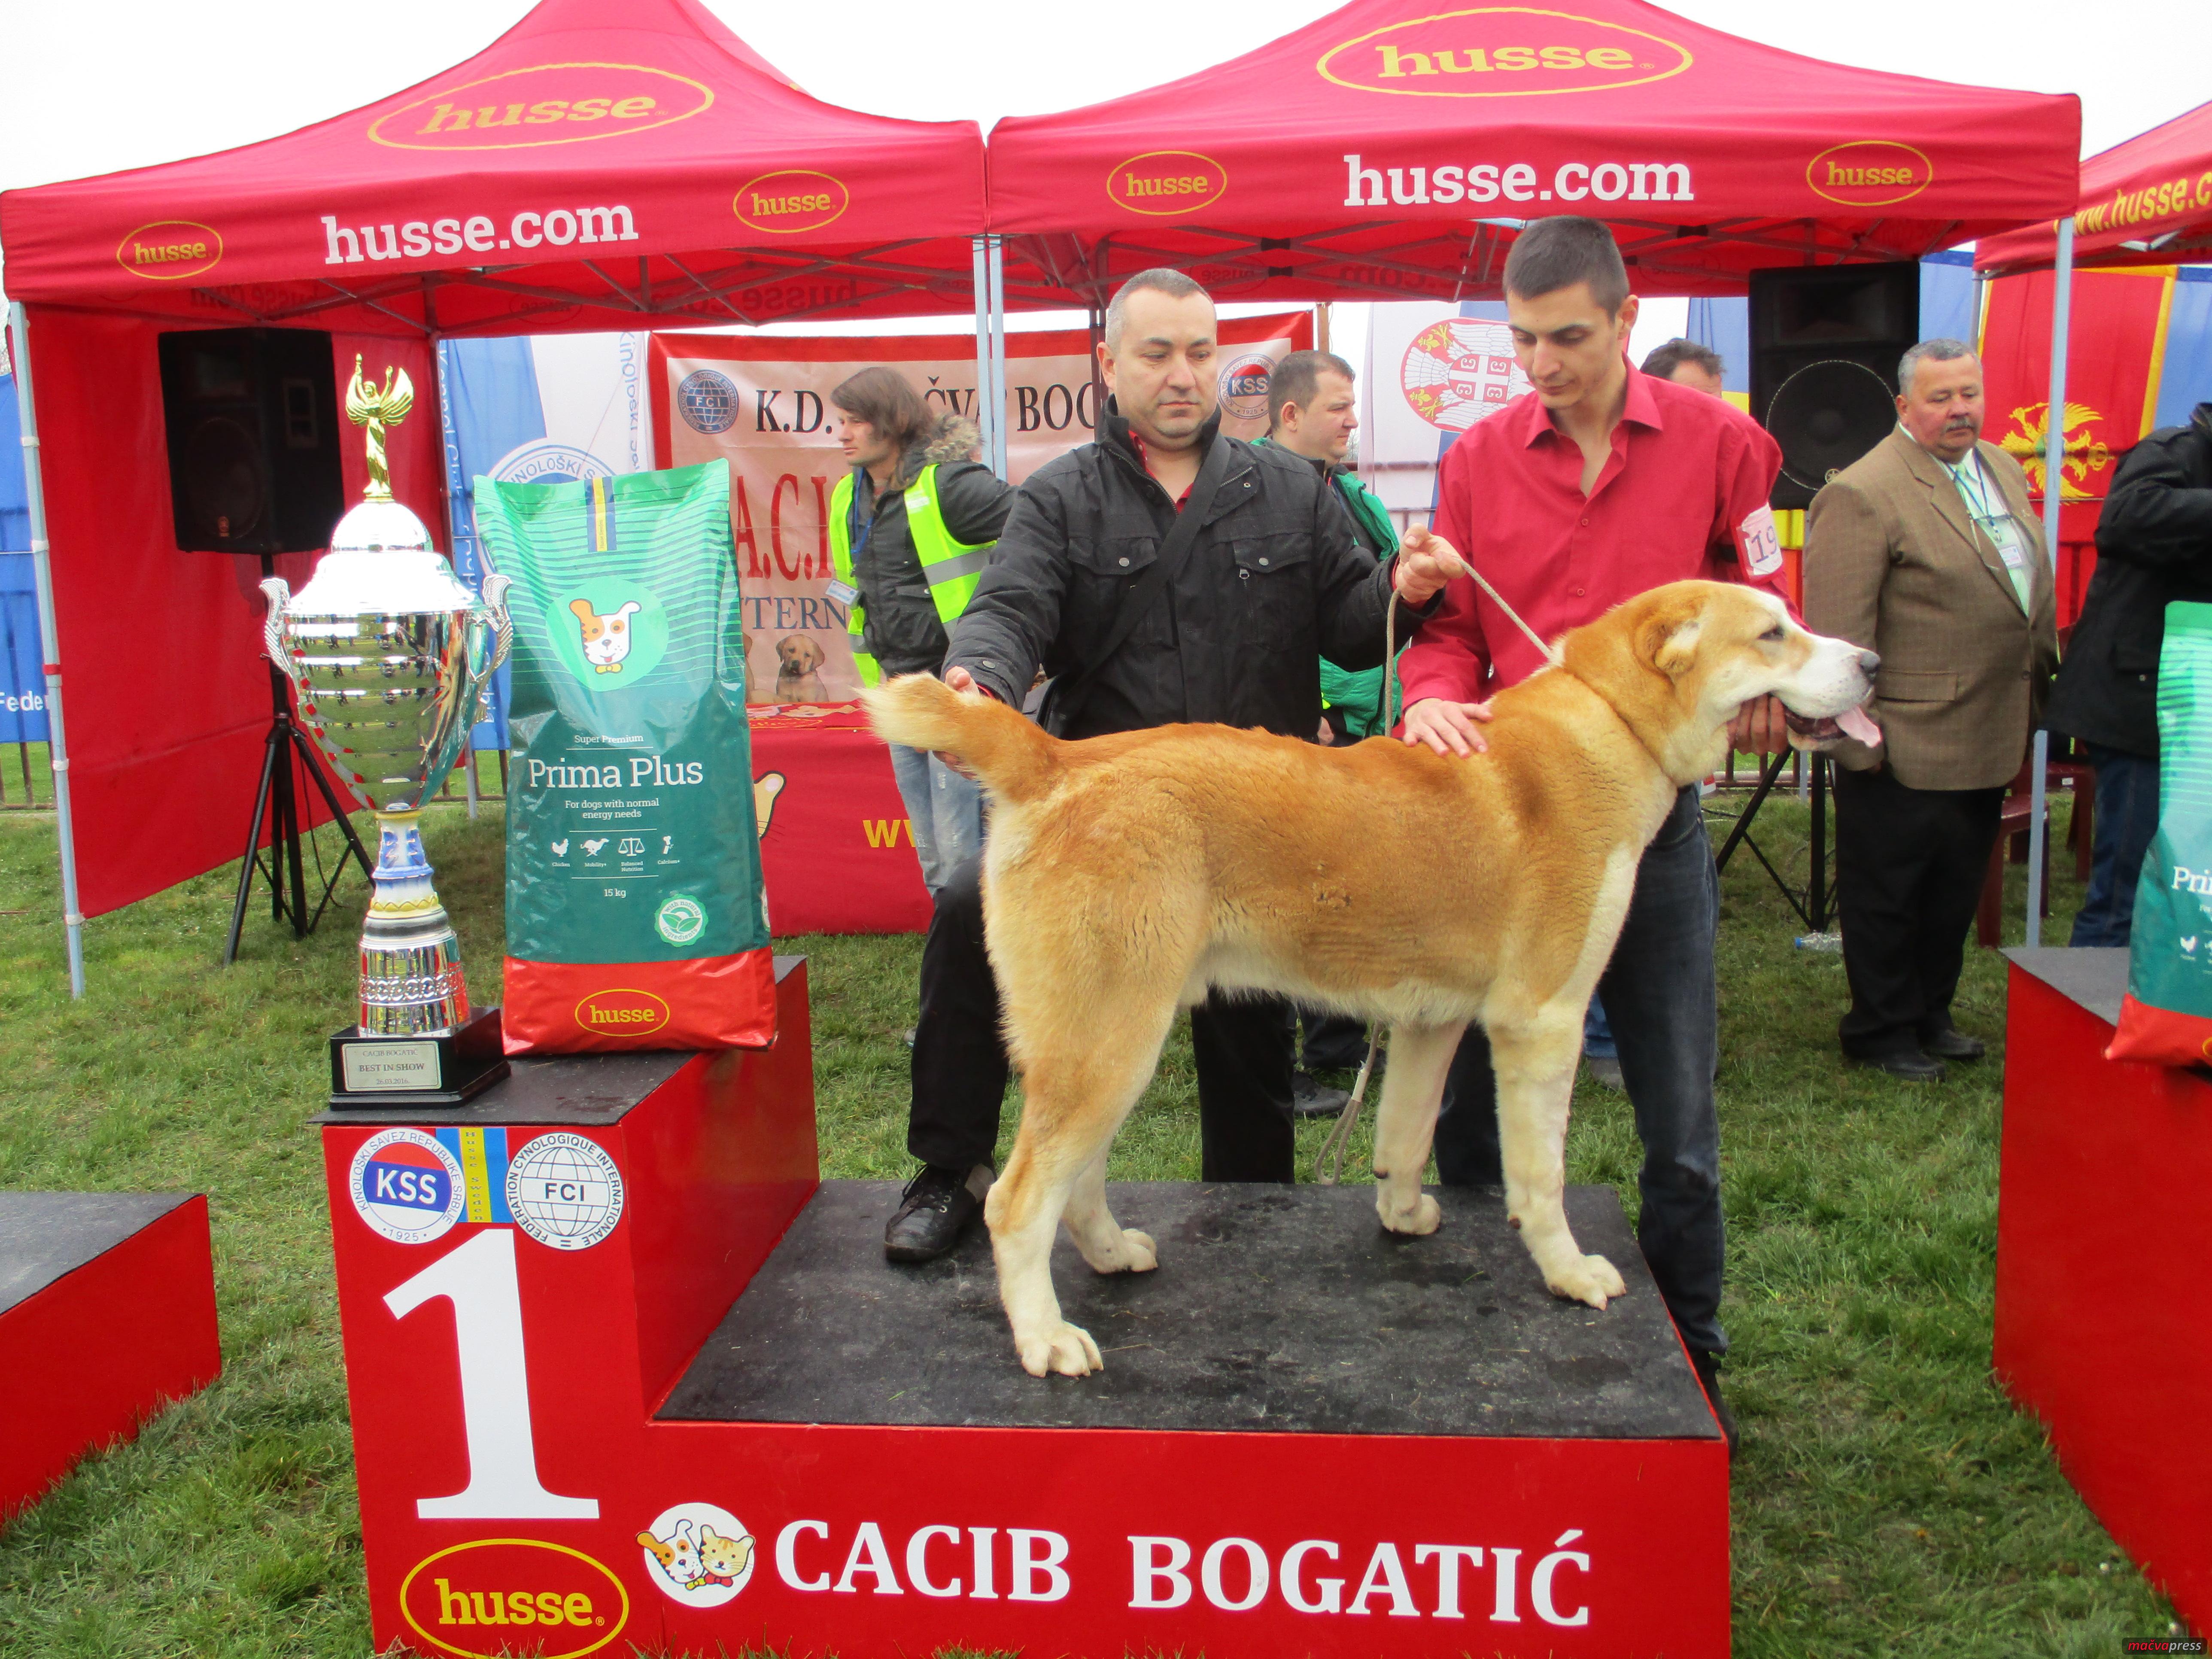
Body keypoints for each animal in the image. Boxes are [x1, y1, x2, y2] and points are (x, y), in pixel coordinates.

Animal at [871, 584, 1875, 1380]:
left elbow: (1404, 1131)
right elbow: (1540, 1176)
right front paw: (1567, 1273)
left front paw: (1400, 1214)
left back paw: (1112, 1253)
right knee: (1015, 1201)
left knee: (1075, 1181)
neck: (1611, 721)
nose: (1870, 661)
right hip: (1106, 1043)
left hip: (1115, 1040)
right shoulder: (1540, 1021)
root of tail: (1058, 758)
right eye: (1774, 633)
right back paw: (1044, 1338)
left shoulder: (1433, 1021)